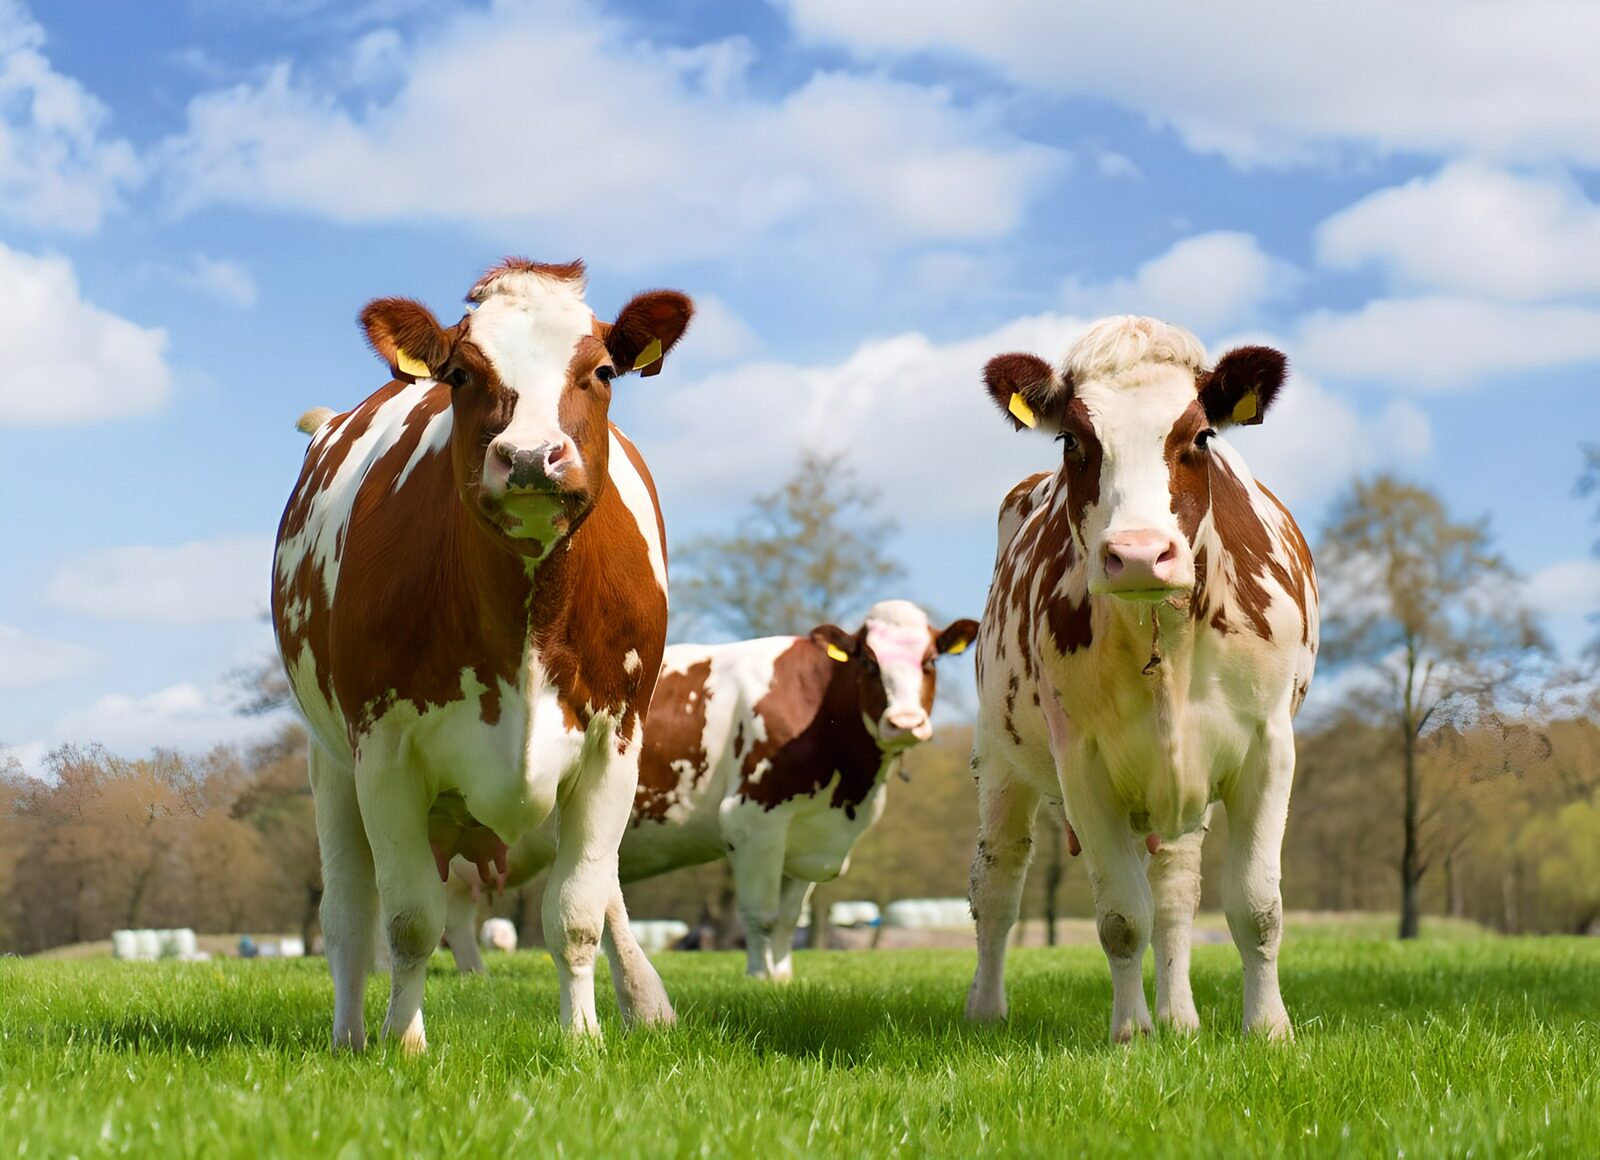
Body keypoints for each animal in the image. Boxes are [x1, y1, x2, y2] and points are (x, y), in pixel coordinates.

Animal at [271, 258, 693, 1050]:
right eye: (461, 373)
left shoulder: (613, 744)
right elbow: (409, 922)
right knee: (347, 916)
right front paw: (404, 1043)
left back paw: (646, 1002)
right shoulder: (384, 752)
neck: (524, 615)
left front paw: (583, 1038)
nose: (528, 457)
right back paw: (350, 1035)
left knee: (603, 896)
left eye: (602, 370)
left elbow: (577, 914)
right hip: (330, 763)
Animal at [443, 600, 978, 981]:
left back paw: (473, 973)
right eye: (868, 661)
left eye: (930, 661)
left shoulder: (806, 837)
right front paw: (760, 979)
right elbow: (762, 916)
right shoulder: (753, 820)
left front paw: (784, 977)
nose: (905, 722)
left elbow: (790, 919)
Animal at [966, 315, 1317, 1042]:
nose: (1136, 555)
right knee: (998, 881)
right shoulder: (1082, 761)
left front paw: (1267, 1030)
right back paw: (986, 1012)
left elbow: (1255, 906)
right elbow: (1123, 919)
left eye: (1201, 436)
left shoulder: (1269, 748)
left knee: (1177, 893)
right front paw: (1130, 1035)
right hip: (1000, 759)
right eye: (1073, 439)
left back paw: (1180, 1018)